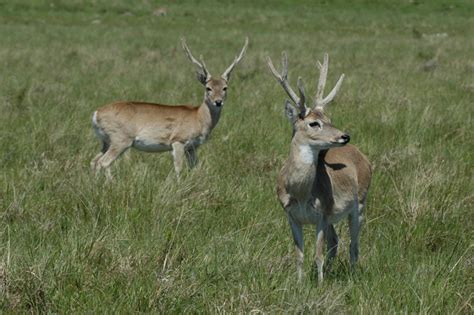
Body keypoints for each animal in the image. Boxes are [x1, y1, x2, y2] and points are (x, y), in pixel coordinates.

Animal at [90, 37, 250, 180]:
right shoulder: (178, 140)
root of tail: (96, 114)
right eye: (208, 88)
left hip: (106, 140)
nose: (218, 102)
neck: (198, 117)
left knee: (94, 161)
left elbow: (194, 168)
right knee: (104, 162)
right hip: (121, 138)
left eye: (225, 88)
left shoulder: (192, 147)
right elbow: (179, 168)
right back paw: (110, 184)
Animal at [268, 52, 372, 284]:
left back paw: (352, 276)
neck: (300, 192)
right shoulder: (291, 215)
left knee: (354, 245)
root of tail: (362, 156)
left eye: (329, 118)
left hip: (359, 203)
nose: (344, 136)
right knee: (336, 241)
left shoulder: (322, 214)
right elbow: (299, 255)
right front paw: (299, 284)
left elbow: (317, 255)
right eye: (314, 123)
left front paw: (319, 284)